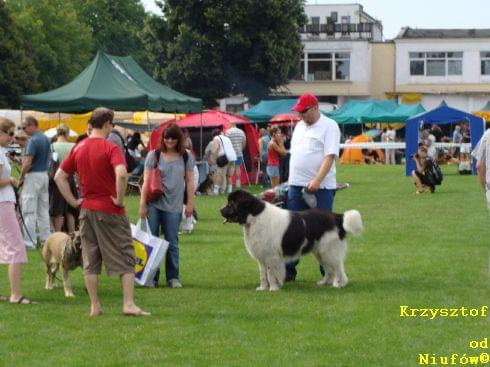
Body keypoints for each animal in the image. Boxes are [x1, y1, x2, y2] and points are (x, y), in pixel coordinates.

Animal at [220, 191, 362, 292]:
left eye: (231, 203)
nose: (220, 210)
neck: (255, 217)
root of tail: (336, 216)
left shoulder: (271, 256)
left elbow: (270, 273)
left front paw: (273, 288)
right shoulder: (262, 257)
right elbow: (263, 274)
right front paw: (262, 288)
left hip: (329, 251)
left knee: (338, 268)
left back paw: (338, 284)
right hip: (320, 252)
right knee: (328, 269)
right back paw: (324, 282)